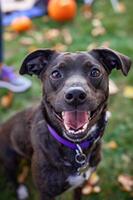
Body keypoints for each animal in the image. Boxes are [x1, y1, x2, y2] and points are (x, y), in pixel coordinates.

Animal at [0, 47, 131, 199]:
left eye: (95, 72)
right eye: (56, 74)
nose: (75, 95)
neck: (76, 147)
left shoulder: (81, 184)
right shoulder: (46, 193)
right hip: (10, 158)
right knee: (12, 176)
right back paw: (21, 191)